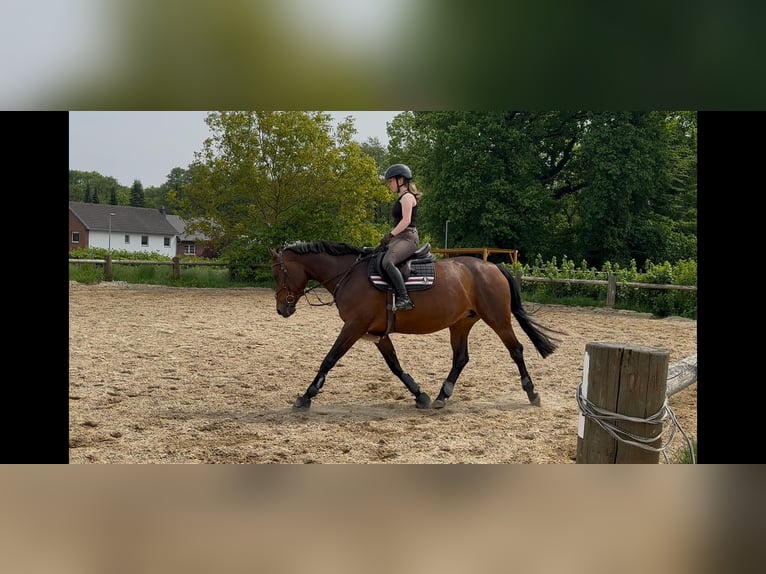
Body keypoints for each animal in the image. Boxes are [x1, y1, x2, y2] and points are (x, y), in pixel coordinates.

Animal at [270, 240, 563, 410]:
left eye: (278, 273)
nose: (282, 308)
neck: (349, 274)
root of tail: (492, 267)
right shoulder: (377, 333)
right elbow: (395, 365)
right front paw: (419, 395)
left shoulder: (354, 326)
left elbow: (329, 359)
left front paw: (306, 396)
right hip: (460, 324)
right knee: (461, 358)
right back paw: (442, 396)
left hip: (498, 319)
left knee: (516, 350)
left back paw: (532, 393)